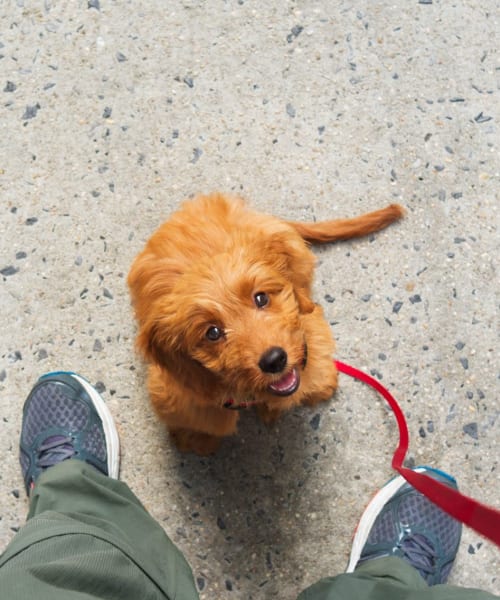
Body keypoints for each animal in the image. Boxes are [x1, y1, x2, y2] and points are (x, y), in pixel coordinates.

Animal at [128, 193, 402, 454]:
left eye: (261, 298)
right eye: (212, 332)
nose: (274, 360)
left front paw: (318, 387)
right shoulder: (180, 394)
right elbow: (202, 421)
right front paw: (197, 439)